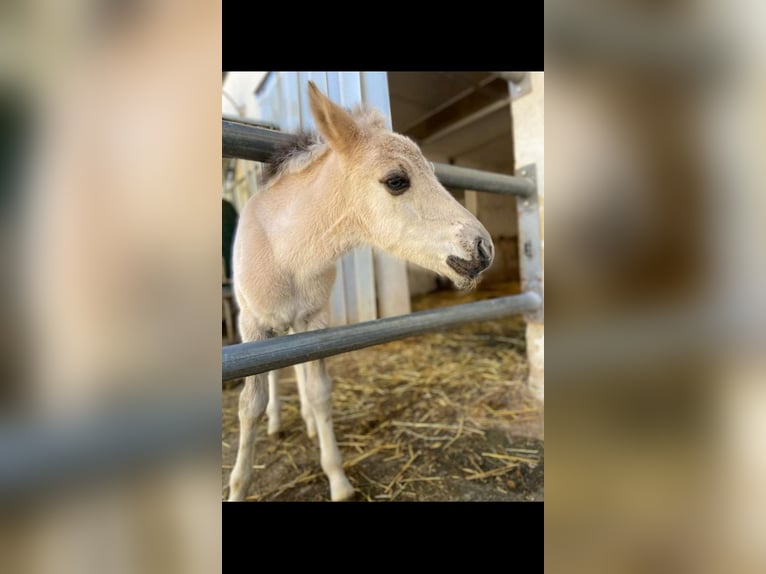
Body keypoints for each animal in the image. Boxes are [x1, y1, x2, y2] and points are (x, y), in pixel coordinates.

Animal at [228, 82, 496, 504]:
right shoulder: (251, 326)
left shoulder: (316, 322)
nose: (484, 249)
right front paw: (238, 487)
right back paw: (276, 422)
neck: (286, 255)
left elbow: (319, 391)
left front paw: (338, 481)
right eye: (397, 181)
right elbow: (249, 404)